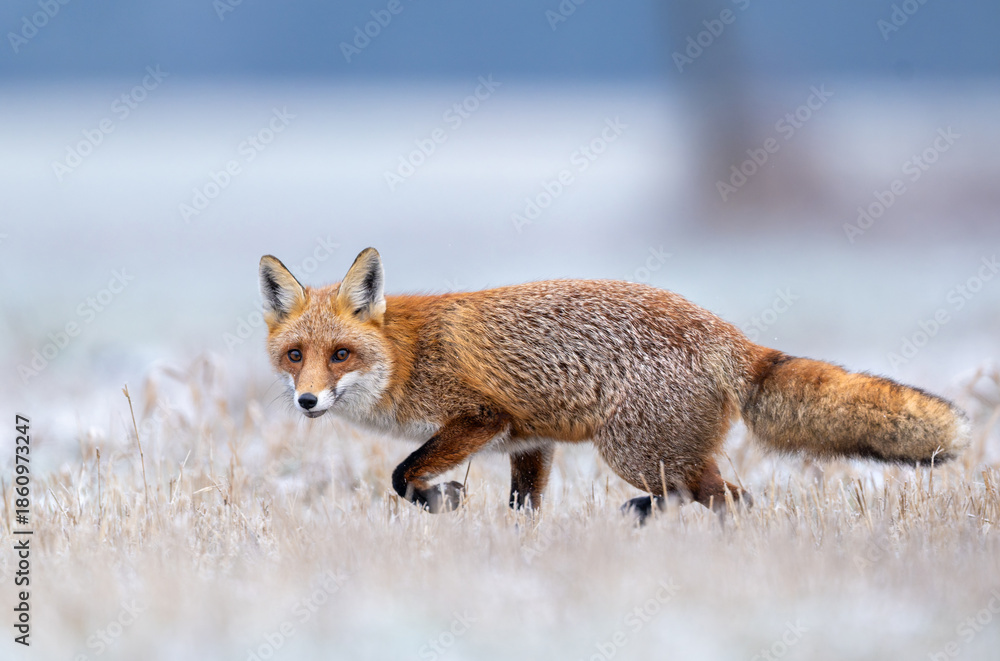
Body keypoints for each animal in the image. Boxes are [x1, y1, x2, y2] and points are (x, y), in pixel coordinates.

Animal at [259, 247, 970, 519]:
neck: (407, 355)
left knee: (731, 499)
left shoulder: (481, 417)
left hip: (634, 452)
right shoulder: (528, 442)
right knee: (708, 496)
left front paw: (440, 500)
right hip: (655, 457)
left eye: (341, 354)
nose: (307, 399)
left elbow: (403, 474)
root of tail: (730, 336)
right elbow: (523, 510)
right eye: (296, 355)